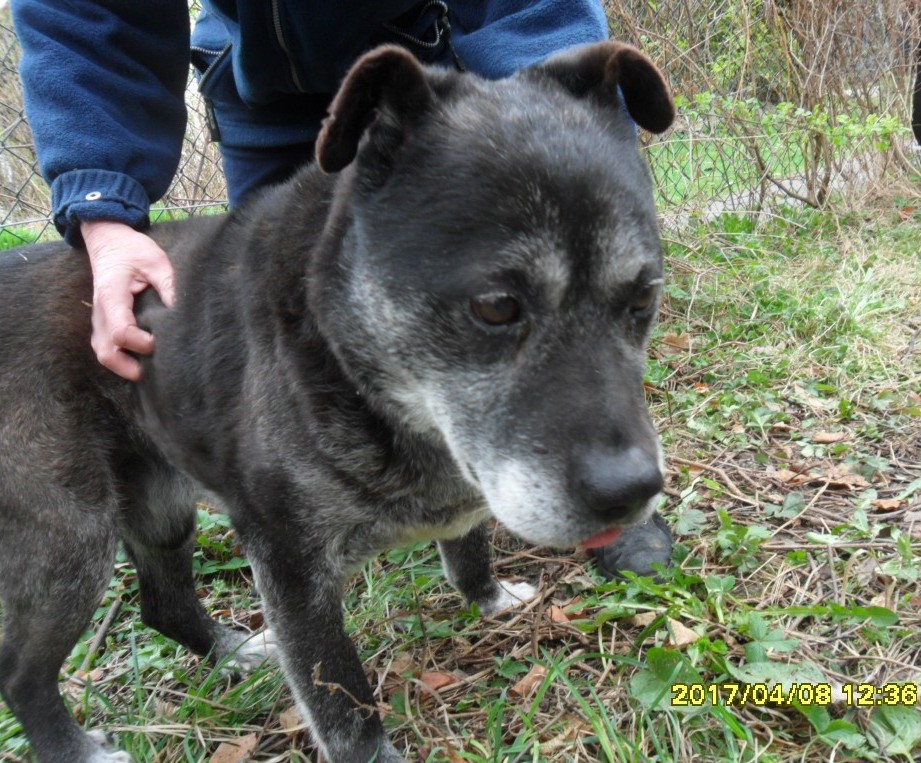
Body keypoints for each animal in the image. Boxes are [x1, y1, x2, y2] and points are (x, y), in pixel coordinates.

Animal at [0, 41, 674, 763]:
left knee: (164, 604)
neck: (357, 371)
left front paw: (488, 600)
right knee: (21, 672)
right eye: (496, 306)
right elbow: (340, 695)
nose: (630, 491)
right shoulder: (289, 564)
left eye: (642, 298)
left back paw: (232, 652)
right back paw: (76, 747)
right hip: (70, 537)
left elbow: (468, 548)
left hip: (158, 504)